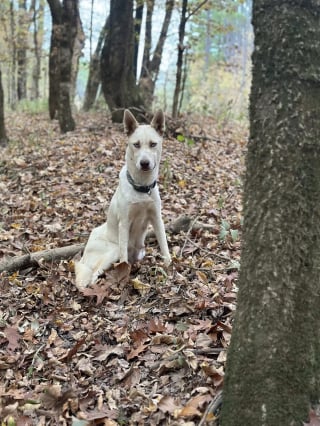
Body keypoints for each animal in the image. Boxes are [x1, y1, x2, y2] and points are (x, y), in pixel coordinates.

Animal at [74, 110, 171, 290]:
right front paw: (124, 275)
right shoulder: (124, 223)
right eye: (136, 144)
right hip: (113, 250)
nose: (144, 163)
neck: (141, 188)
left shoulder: (156, 217)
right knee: (93, 274)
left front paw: (169, 265)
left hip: (140, 251)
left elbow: (164, 243)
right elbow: (124, 259)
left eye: (153, 144)